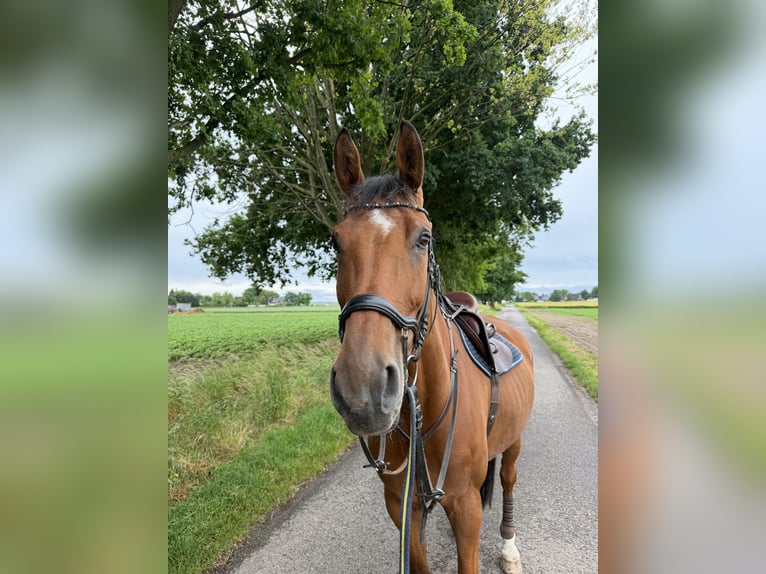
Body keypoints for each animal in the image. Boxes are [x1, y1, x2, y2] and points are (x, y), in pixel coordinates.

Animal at [329, 121, 535, 574]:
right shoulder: (401, 506)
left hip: (513, 443)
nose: (363, 387)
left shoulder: (465, 509)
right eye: (335, 242)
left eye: (424, 238)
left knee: (509, 480)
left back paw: (510, 547)